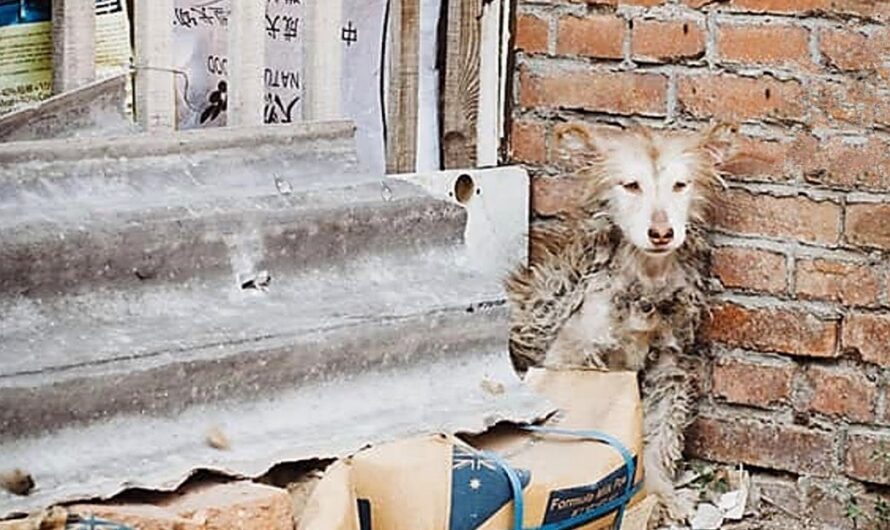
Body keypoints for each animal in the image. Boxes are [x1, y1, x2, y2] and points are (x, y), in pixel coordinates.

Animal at [502, 121, 732, 520]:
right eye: (631, 185)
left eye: (680, 185)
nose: (662, 233)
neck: (645, 280)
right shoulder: (571, 354)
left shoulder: (669, 366)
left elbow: (661, 435)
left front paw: (662, 493)